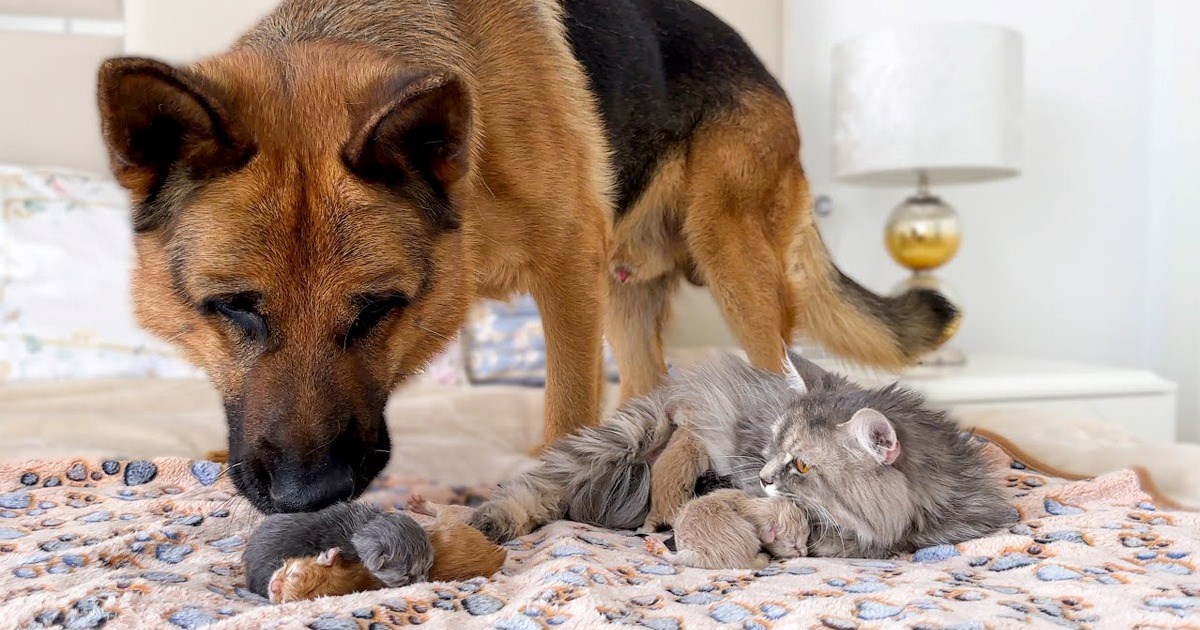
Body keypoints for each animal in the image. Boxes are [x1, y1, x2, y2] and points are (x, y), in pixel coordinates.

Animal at [96, 0, 955, 513]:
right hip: (630, 295)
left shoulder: (568, 270)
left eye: (377, 310)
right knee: (652, 385)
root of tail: (761, 65)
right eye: (233, 308)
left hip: (732, 262)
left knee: (774, 370)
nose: (312, 496)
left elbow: (567, 402)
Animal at [465, 348, 1012, 559]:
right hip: (623, 436)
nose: (766, 476)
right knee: (537, 486)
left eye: (802, 465)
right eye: (771, 447)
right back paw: (485, 523)